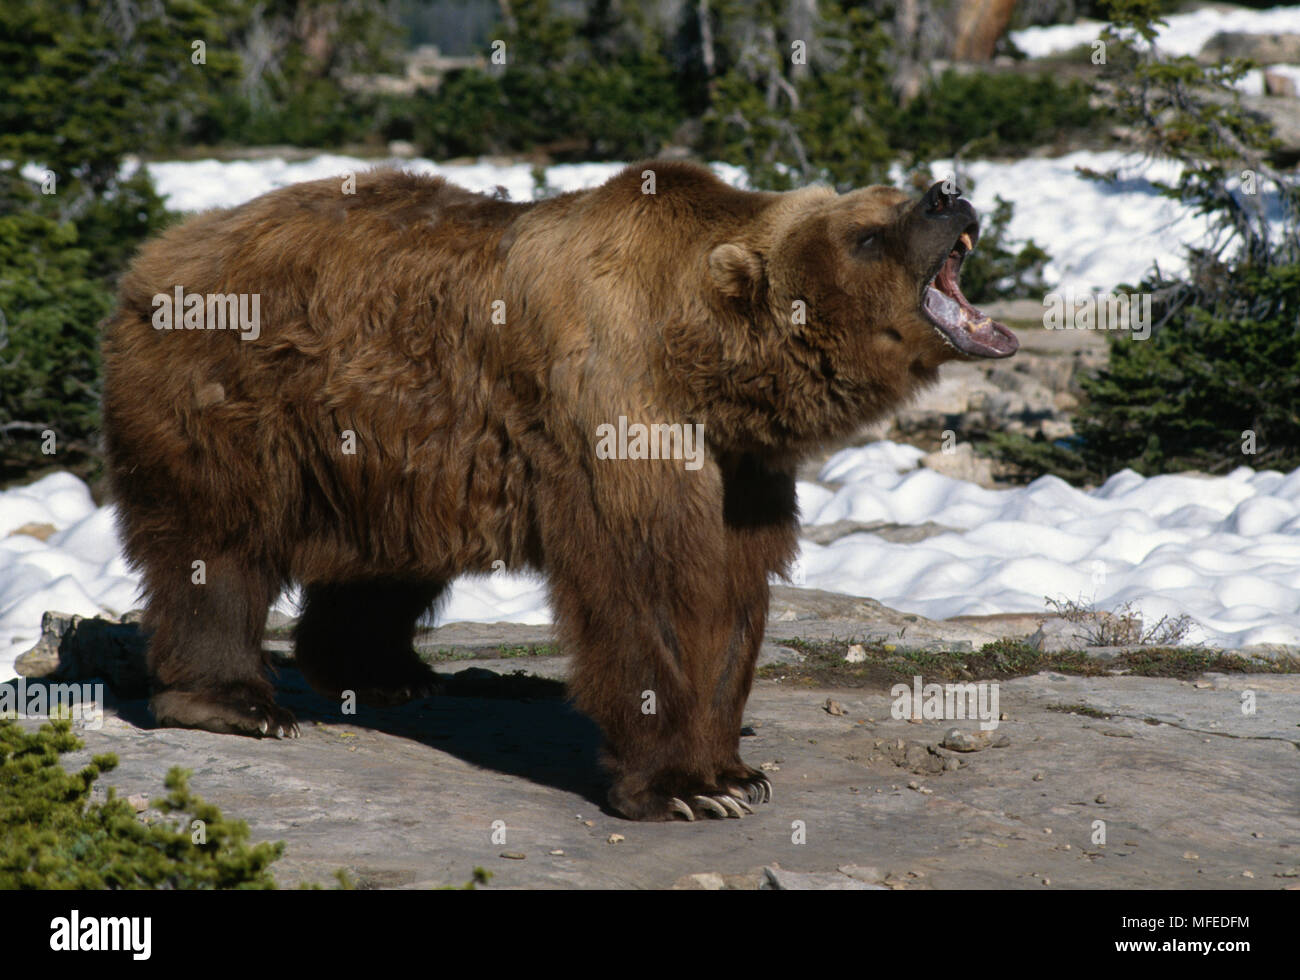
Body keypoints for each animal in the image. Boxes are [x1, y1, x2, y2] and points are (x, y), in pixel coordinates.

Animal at [101, 160, 1013, 816]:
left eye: (893, 195)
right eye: (868, 233)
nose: (948, 193)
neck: (706, 366)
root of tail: (162, 245)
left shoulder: (740, 470)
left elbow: (732, 593)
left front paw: (733, 771)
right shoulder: (614, 412)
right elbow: (648, 585)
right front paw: (684, 787)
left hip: (391, 441)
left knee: (385, 557)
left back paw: (384, 671)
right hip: (233, 388)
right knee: (216, 543)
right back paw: (235, 701)